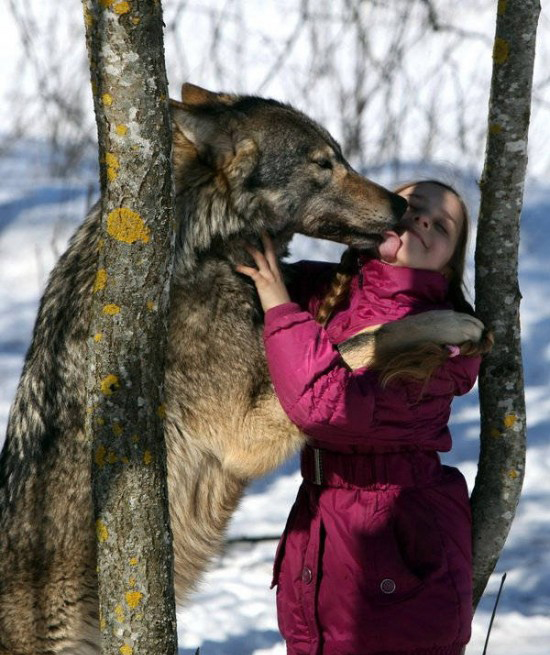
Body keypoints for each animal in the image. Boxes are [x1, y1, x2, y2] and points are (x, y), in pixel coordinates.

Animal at [0, 84, 484, 652]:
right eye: (322, 163)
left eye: (340, 156)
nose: (402, 203)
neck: (201, 247)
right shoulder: (245, 433)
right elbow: (365, 338)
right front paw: (450, 322)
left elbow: (330, 334)